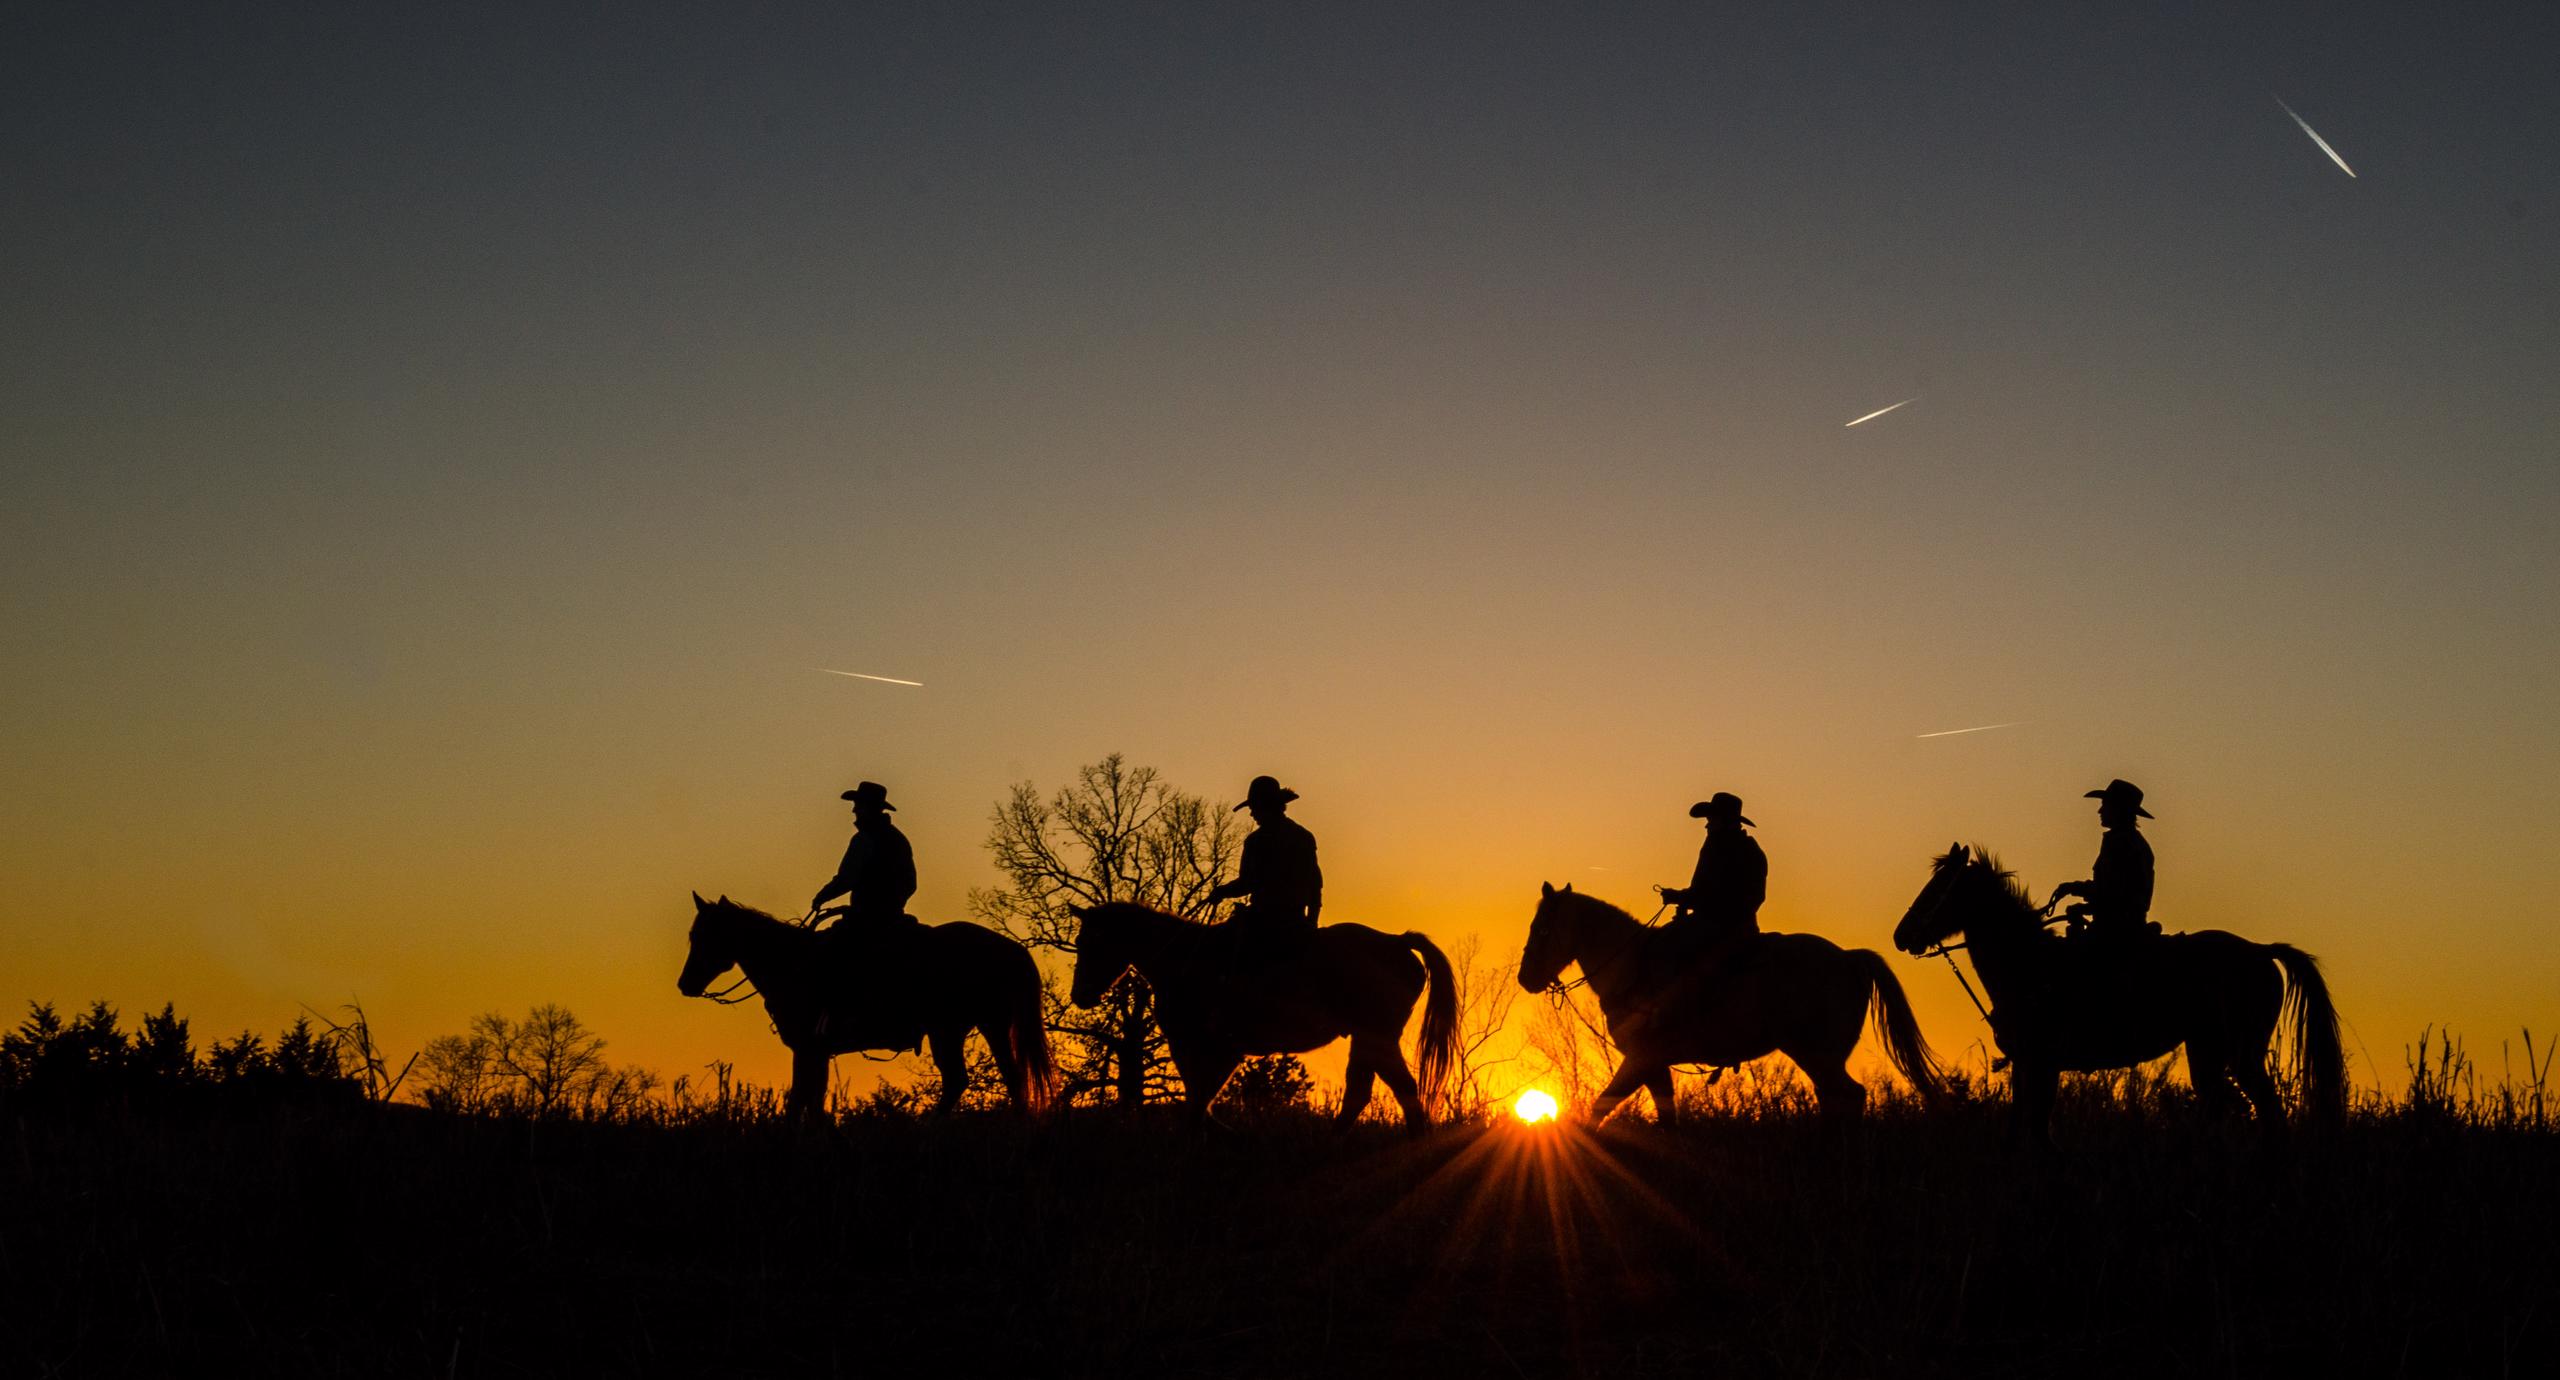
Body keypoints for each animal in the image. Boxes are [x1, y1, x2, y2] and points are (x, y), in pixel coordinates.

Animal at [675, 896, 1054, 1121]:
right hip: (977, 1027)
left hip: (954, 1029)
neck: (794, 964)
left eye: (704, 936)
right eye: (693, 935)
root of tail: (1011, 948)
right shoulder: (815, 1050)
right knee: (1000, 1078)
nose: (685, 984)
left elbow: (802, 1100)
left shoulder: (808, 1047)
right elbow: (811, 1099)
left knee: (970, 1079)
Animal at [1064, 901, 1464, 1126]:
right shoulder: (1214, 1049)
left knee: (1390, 1089)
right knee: (1369, 1092)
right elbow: (1200, 1099)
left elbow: (1198, 1099)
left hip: (1376, 1035)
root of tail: (1398, 942)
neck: (1185, 959)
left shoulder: (1205, 1046)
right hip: (1369, 1038)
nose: (1080, 995)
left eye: (1094, 942)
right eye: (1080, 941)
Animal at [1505, 885, 1925, 1121]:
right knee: (1835, 1099)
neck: (1631, 967)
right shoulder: (1654, 1065)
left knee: (1849, 1097)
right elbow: (1667, 1117)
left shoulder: (1640, 1058)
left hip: (1816, 1053)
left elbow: (1599, 1108)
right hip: (1821, 1057)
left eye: (1542, 929)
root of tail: (1850, 958)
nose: (1526, 978)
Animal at [1904, 844, 2344, 1147]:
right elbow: (2020, 1127)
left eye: (1938, 888)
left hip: (2241, 1052)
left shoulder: (2044, 1061)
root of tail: (2261, 951)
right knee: (2221, 1106)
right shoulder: (2026, 1063)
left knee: (2265, 1111)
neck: (2030, 965)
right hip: (2207, 1049)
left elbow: (2039, 1129)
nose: (1901, 934)